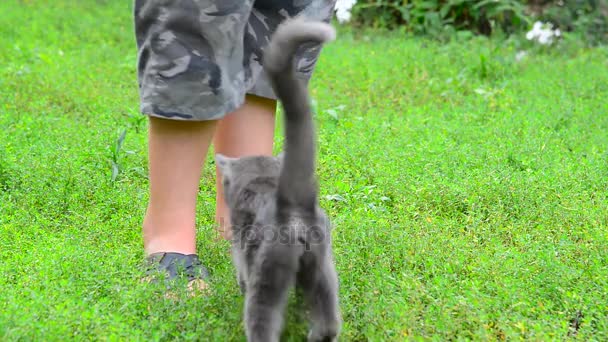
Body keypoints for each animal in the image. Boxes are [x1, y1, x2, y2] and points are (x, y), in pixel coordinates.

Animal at [216, 16, 342, 342]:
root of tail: (293, 207)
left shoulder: (240, 249)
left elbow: (239, 268)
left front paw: (238, 285)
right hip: (321, 265)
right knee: (328, 315)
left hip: (268, 270)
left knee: (262, 318)